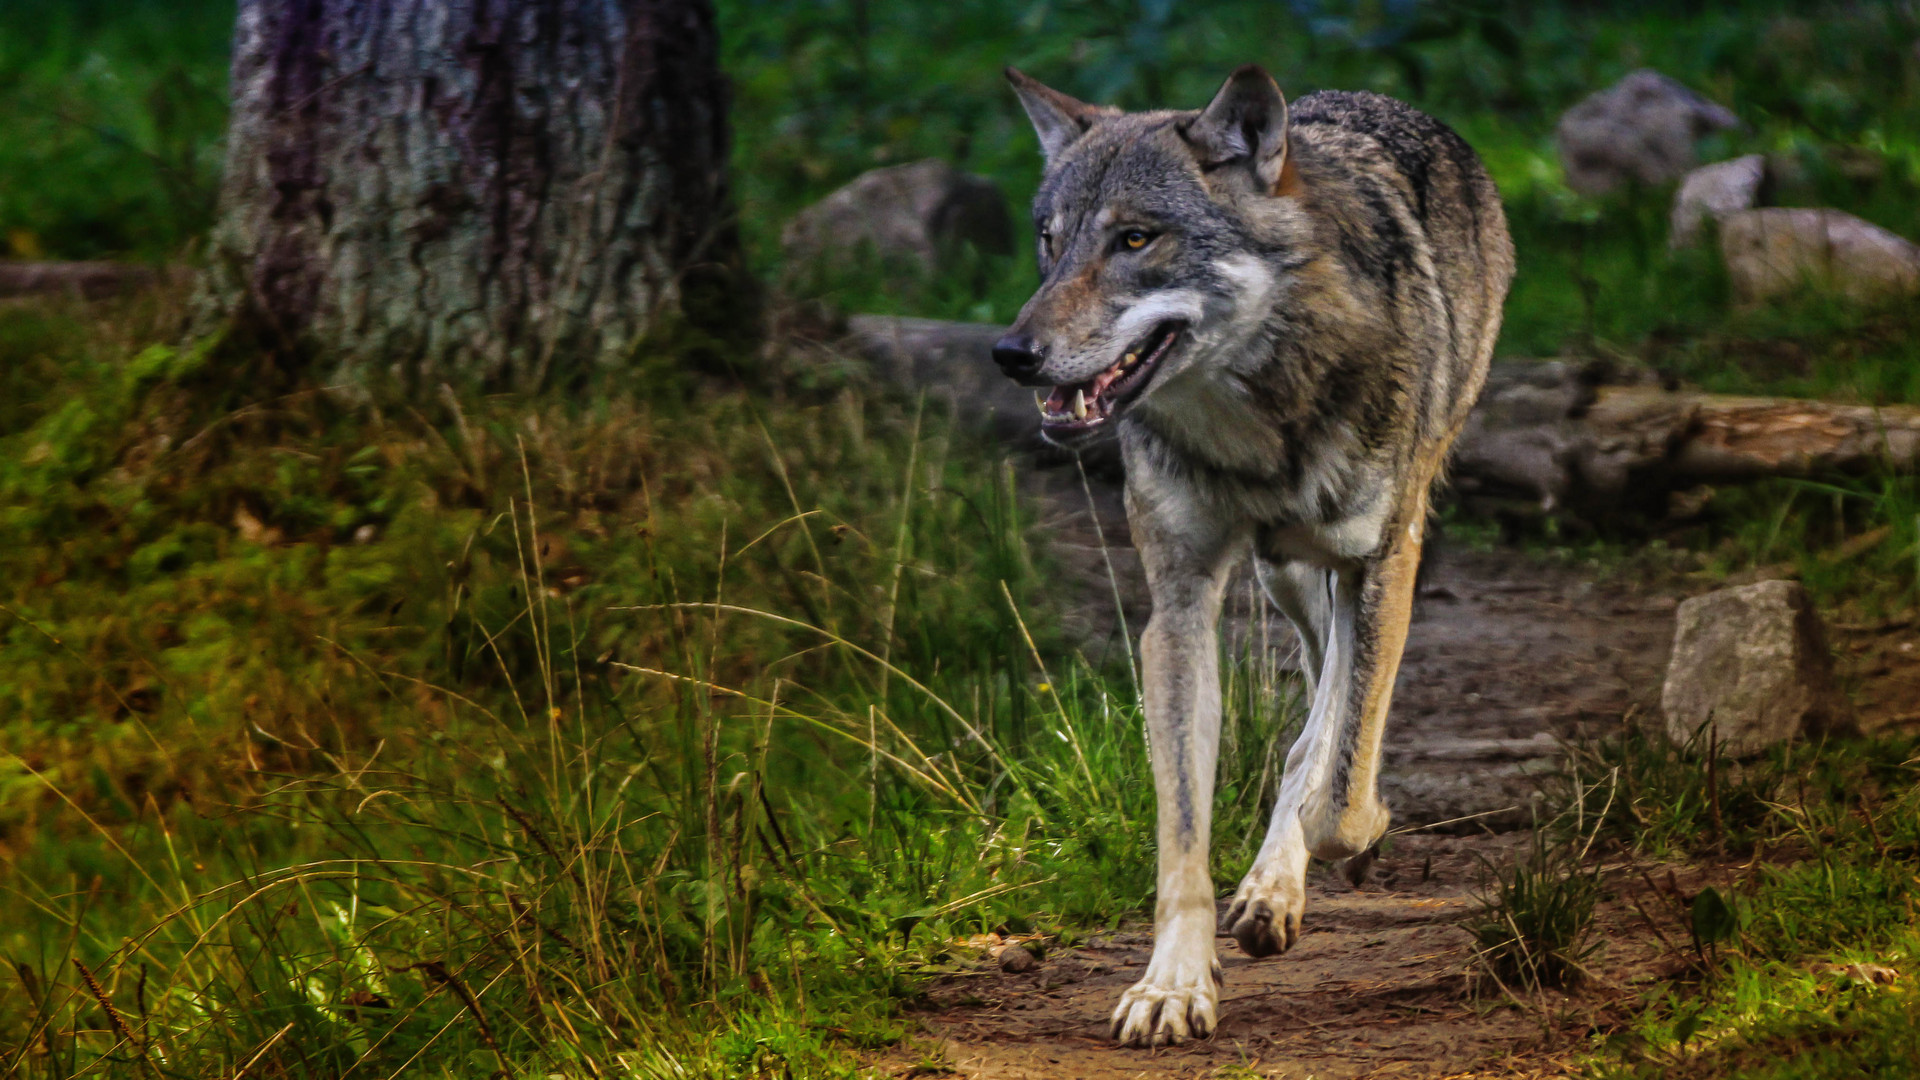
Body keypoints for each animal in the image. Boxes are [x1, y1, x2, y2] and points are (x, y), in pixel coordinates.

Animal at [990, 65, 1512, 1045]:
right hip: (1284, 576)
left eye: (1136, 238)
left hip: (1358, 551)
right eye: (1049, 240)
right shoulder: (1180, 605)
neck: (1258, 422)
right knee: (1313, 703)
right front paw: (1172, 984)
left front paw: (1346, 836)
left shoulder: (1383, 561)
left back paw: (1289, 873)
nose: (1012, 353)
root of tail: (1376, 100)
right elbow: (1184, 832)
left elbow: (1341, 789)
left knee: (1328, 724)